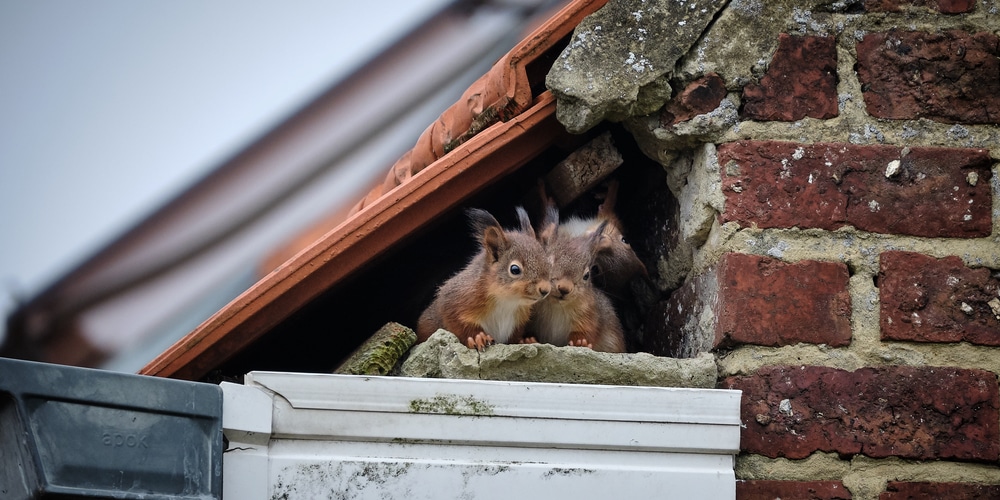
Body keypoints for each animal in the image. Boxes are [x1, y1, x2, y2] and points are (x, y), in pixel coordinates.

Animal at [416, 207, 556, 352]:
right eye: (515, 269)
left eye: (548, 263)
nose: (545, 289)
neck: (507, 301)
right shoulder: (455, 299)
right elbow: (457, 323)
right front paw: (477, 337)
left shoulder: (519, 320)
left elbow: (514, 337)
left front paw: (525, 340)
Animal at [528, 205, 620, 354]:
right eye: (547, 262)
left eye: (587, 275)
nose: (564, 289)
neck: (557, 306)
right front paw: (528, 339)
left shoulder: (588, 313)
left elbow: (587, 330)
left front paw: (580, 342)